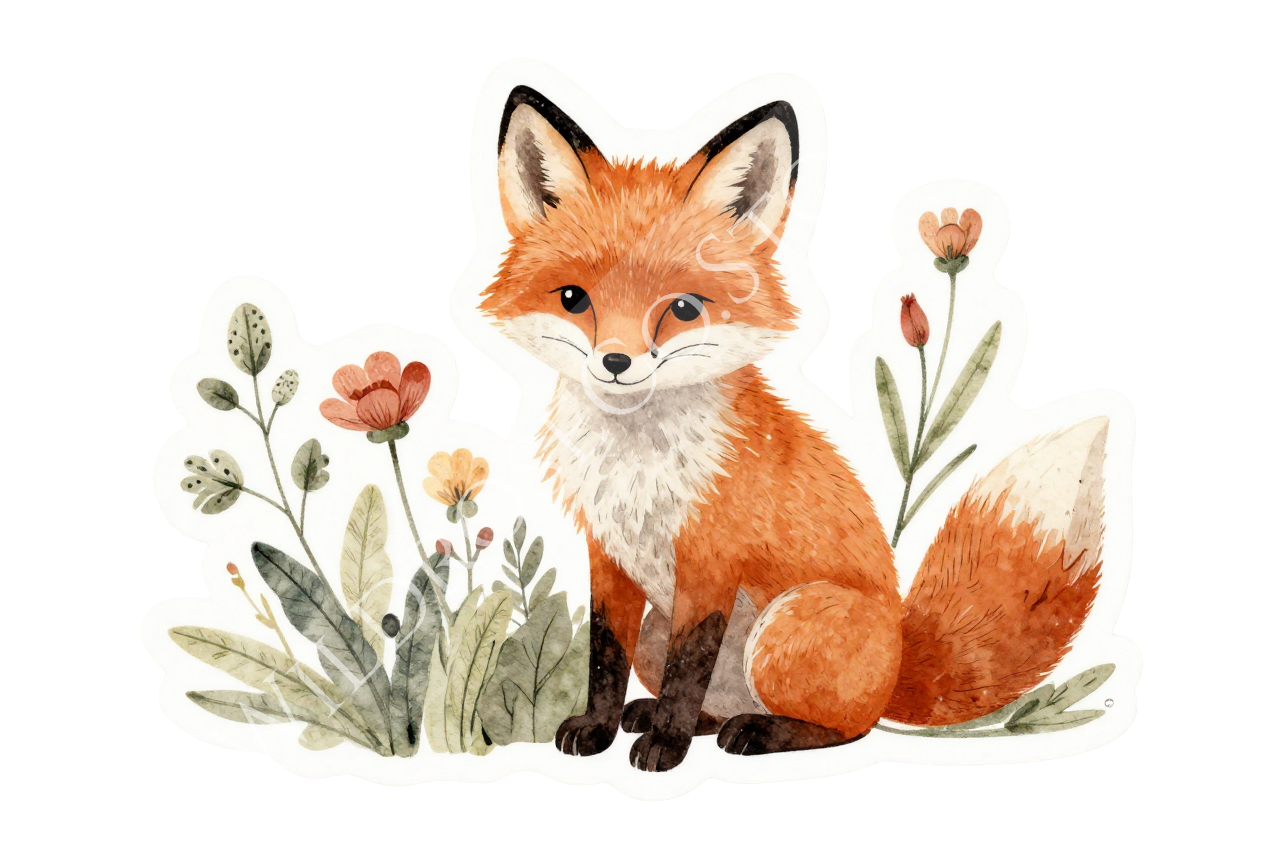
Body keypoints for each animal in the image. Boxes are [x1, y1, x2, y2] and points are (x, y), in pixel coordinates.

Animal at [479, 86, 1105, 772]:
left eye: (682, 309)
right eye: (573, 298)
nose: (616, 363)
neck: (638, 464)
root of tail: (900, 659)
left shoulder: (711, 560)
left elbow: (687, 668)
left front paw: (665, 745)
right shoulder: (608, 554)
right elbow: (604, 656)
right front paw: (600, 727)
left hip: (785, 625)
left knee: (848, 726)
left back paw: (759, 732)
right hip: (660, 633)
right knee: (716, 700)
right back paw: (685, 719)